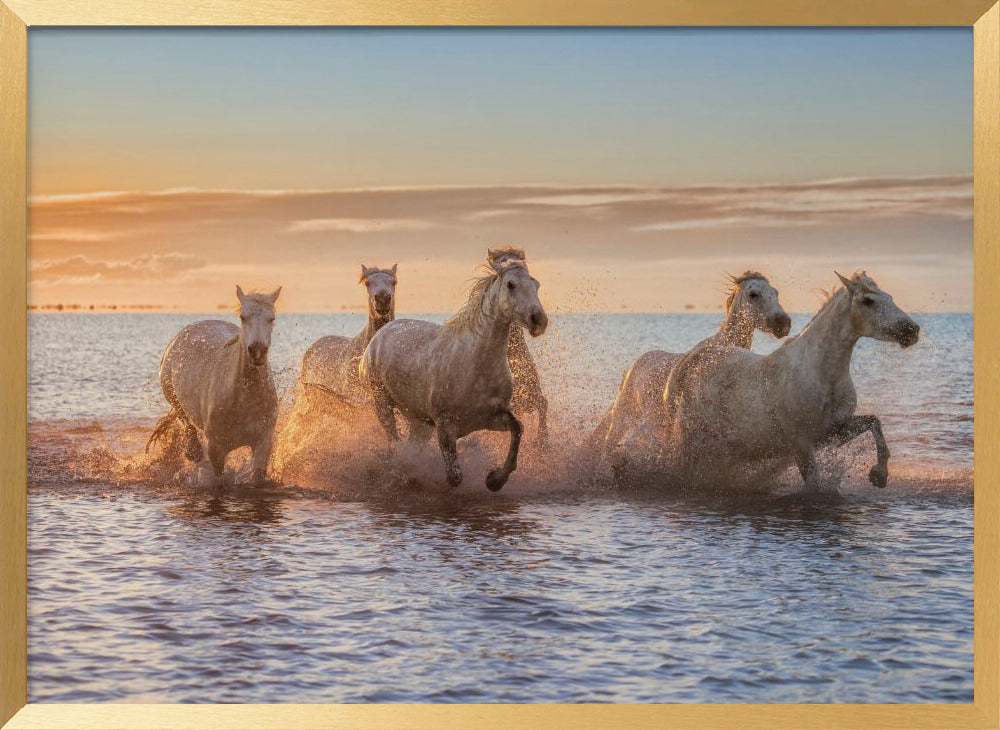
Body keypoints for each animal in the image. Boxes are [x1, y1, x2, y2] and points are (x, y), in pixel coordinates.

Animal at [147, 286, 281, 487]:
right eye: (243, 317)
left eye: (271, 318)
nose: (257, 351)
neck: (243, 400)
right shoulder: (216, 449)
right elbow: (218, 480)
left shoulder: (263, 442)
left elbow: (257, 477)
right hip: (173, 397)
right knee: (185, 419)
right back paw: (193, 452)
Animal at [487, 247, 549, 448]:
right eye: (501, 261)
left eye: (534, 282)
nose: (539, 320)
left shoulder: (530, 396)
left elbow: (543, 404)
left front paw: (543, 441)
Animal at [593, 272, 791, 468]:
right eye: (753, 294)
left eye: (776, 293)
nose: (783, 323)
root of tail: (632, 366)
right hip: (624, 417)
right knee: (608, 445)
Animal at [661, 271, 919, 493]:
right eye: (868, 301)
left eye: (889, 297)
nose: (912, 330)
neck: (820, 375)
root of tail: (690, 360)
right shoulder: (801, 444)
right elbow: (813, 484)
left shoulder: (833, 431)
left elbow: (875, 423)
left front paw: (879, 475)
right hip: (692, 440)